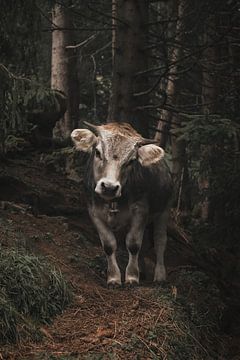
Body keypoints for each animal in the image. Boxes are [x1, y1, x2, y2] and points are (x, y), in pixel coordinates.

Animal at [71, 122, 172, 288]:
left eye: (131, 161)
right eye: (97, 152)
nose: (109, 187)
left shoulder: (140, 210)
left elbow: (133, 244)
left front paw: (131, 277)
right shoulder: (93, 211)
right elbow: (109, 245)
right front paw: (114, 278)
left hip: (165, 209)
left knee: (160, 241)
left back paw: (160, 275)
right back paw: (142, 270)